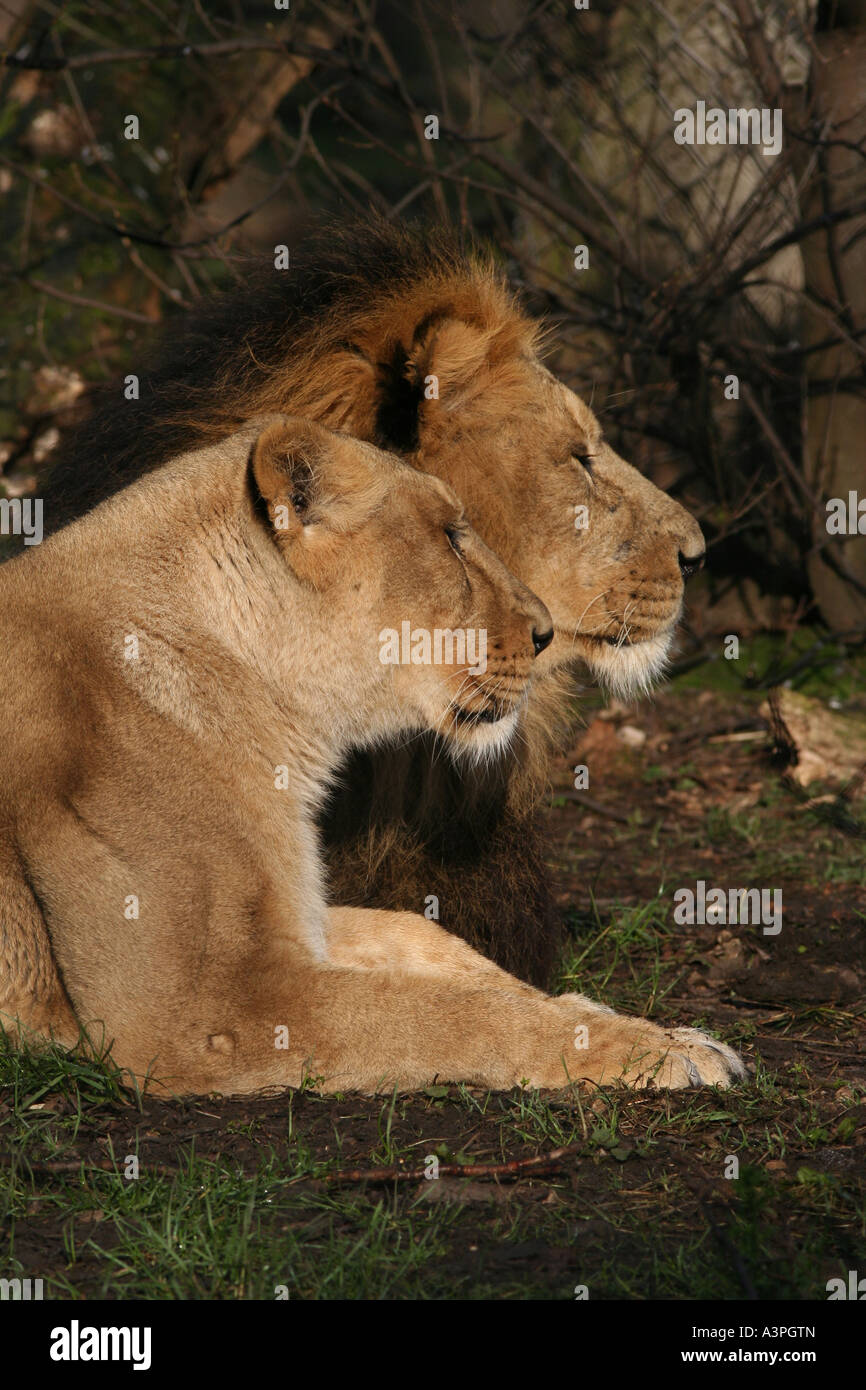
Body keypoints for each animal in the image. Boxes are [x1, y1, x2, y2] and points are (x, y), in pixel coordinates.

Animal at [0, 417, 745, 1089]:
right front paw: (645, 1050)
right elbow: (447, 1015)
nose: (543, 634)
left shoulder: (294, 923)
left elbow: (427, 940)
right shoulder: (192, 1014)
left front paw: (634, 1024)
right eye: (449, 538)